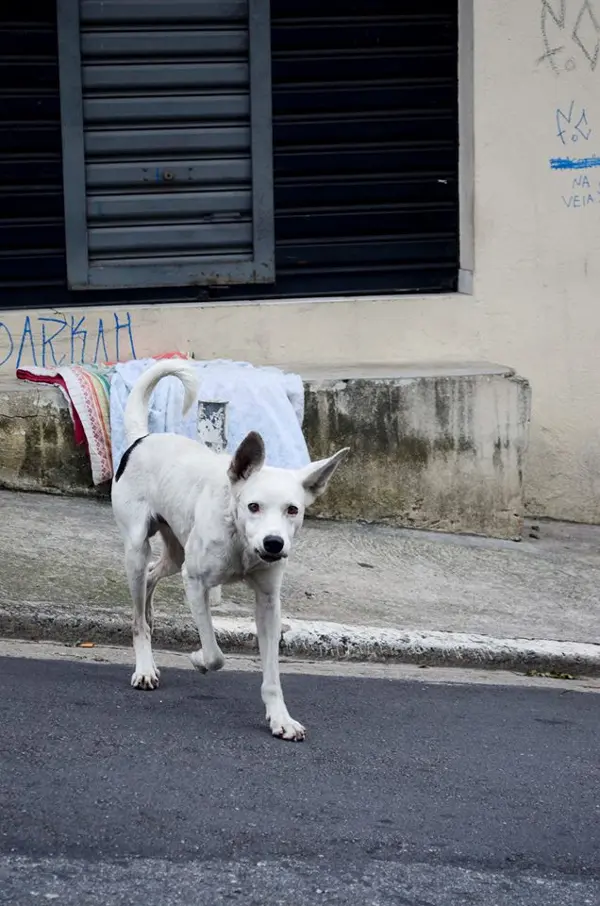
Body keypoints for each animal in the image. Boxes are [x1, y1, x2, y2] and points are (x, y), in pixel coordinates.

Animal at [110, 360, 350, 740]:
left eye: (292, 510)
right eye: (253, 506)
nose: (273, 543)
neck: (241, 541)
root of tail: (141, 438)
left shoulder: (268, 602)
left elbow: (272, 675)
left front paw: (280, 718)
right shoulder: (195, 582)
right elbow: (215, 655)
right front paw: (197, 658)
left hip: (175, 550)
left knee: (151, 577)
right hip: (136, 547)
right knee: (137, 616)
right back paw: (145, 666)